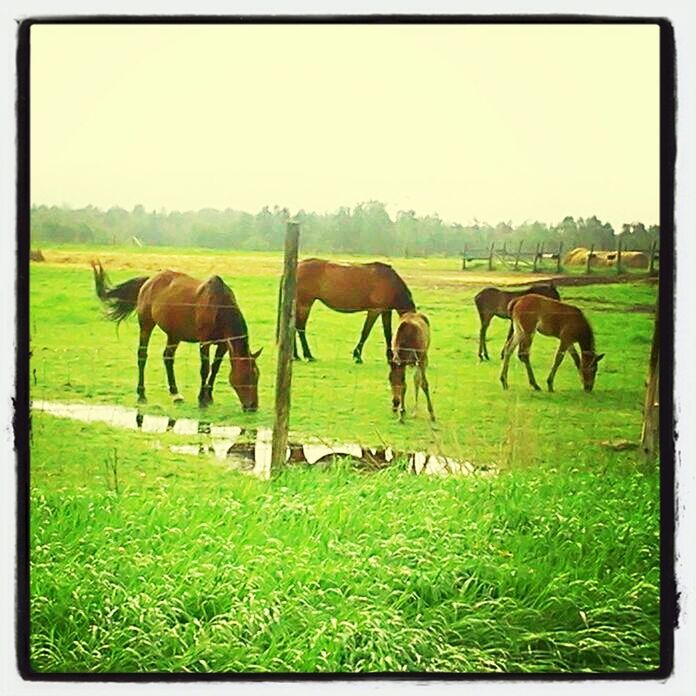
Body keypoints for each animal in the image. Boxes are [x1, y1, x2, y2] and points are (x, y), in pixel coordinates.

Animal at [91, 262, 262, 414]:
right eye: (249, 376)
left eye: (257, 376)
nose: (252, 406)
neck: (219, 308)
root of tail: (149, 280)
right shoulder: (204, 343)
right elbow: (205, 369)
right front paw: (202, 400)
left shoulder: (223, 345)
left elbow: (215, 368)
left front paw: (209, 397)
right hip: (146, 324)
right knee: (142, 355)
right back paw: (141, 394)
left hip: (174, 334)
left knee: (168, 357)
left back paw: (175, 394)